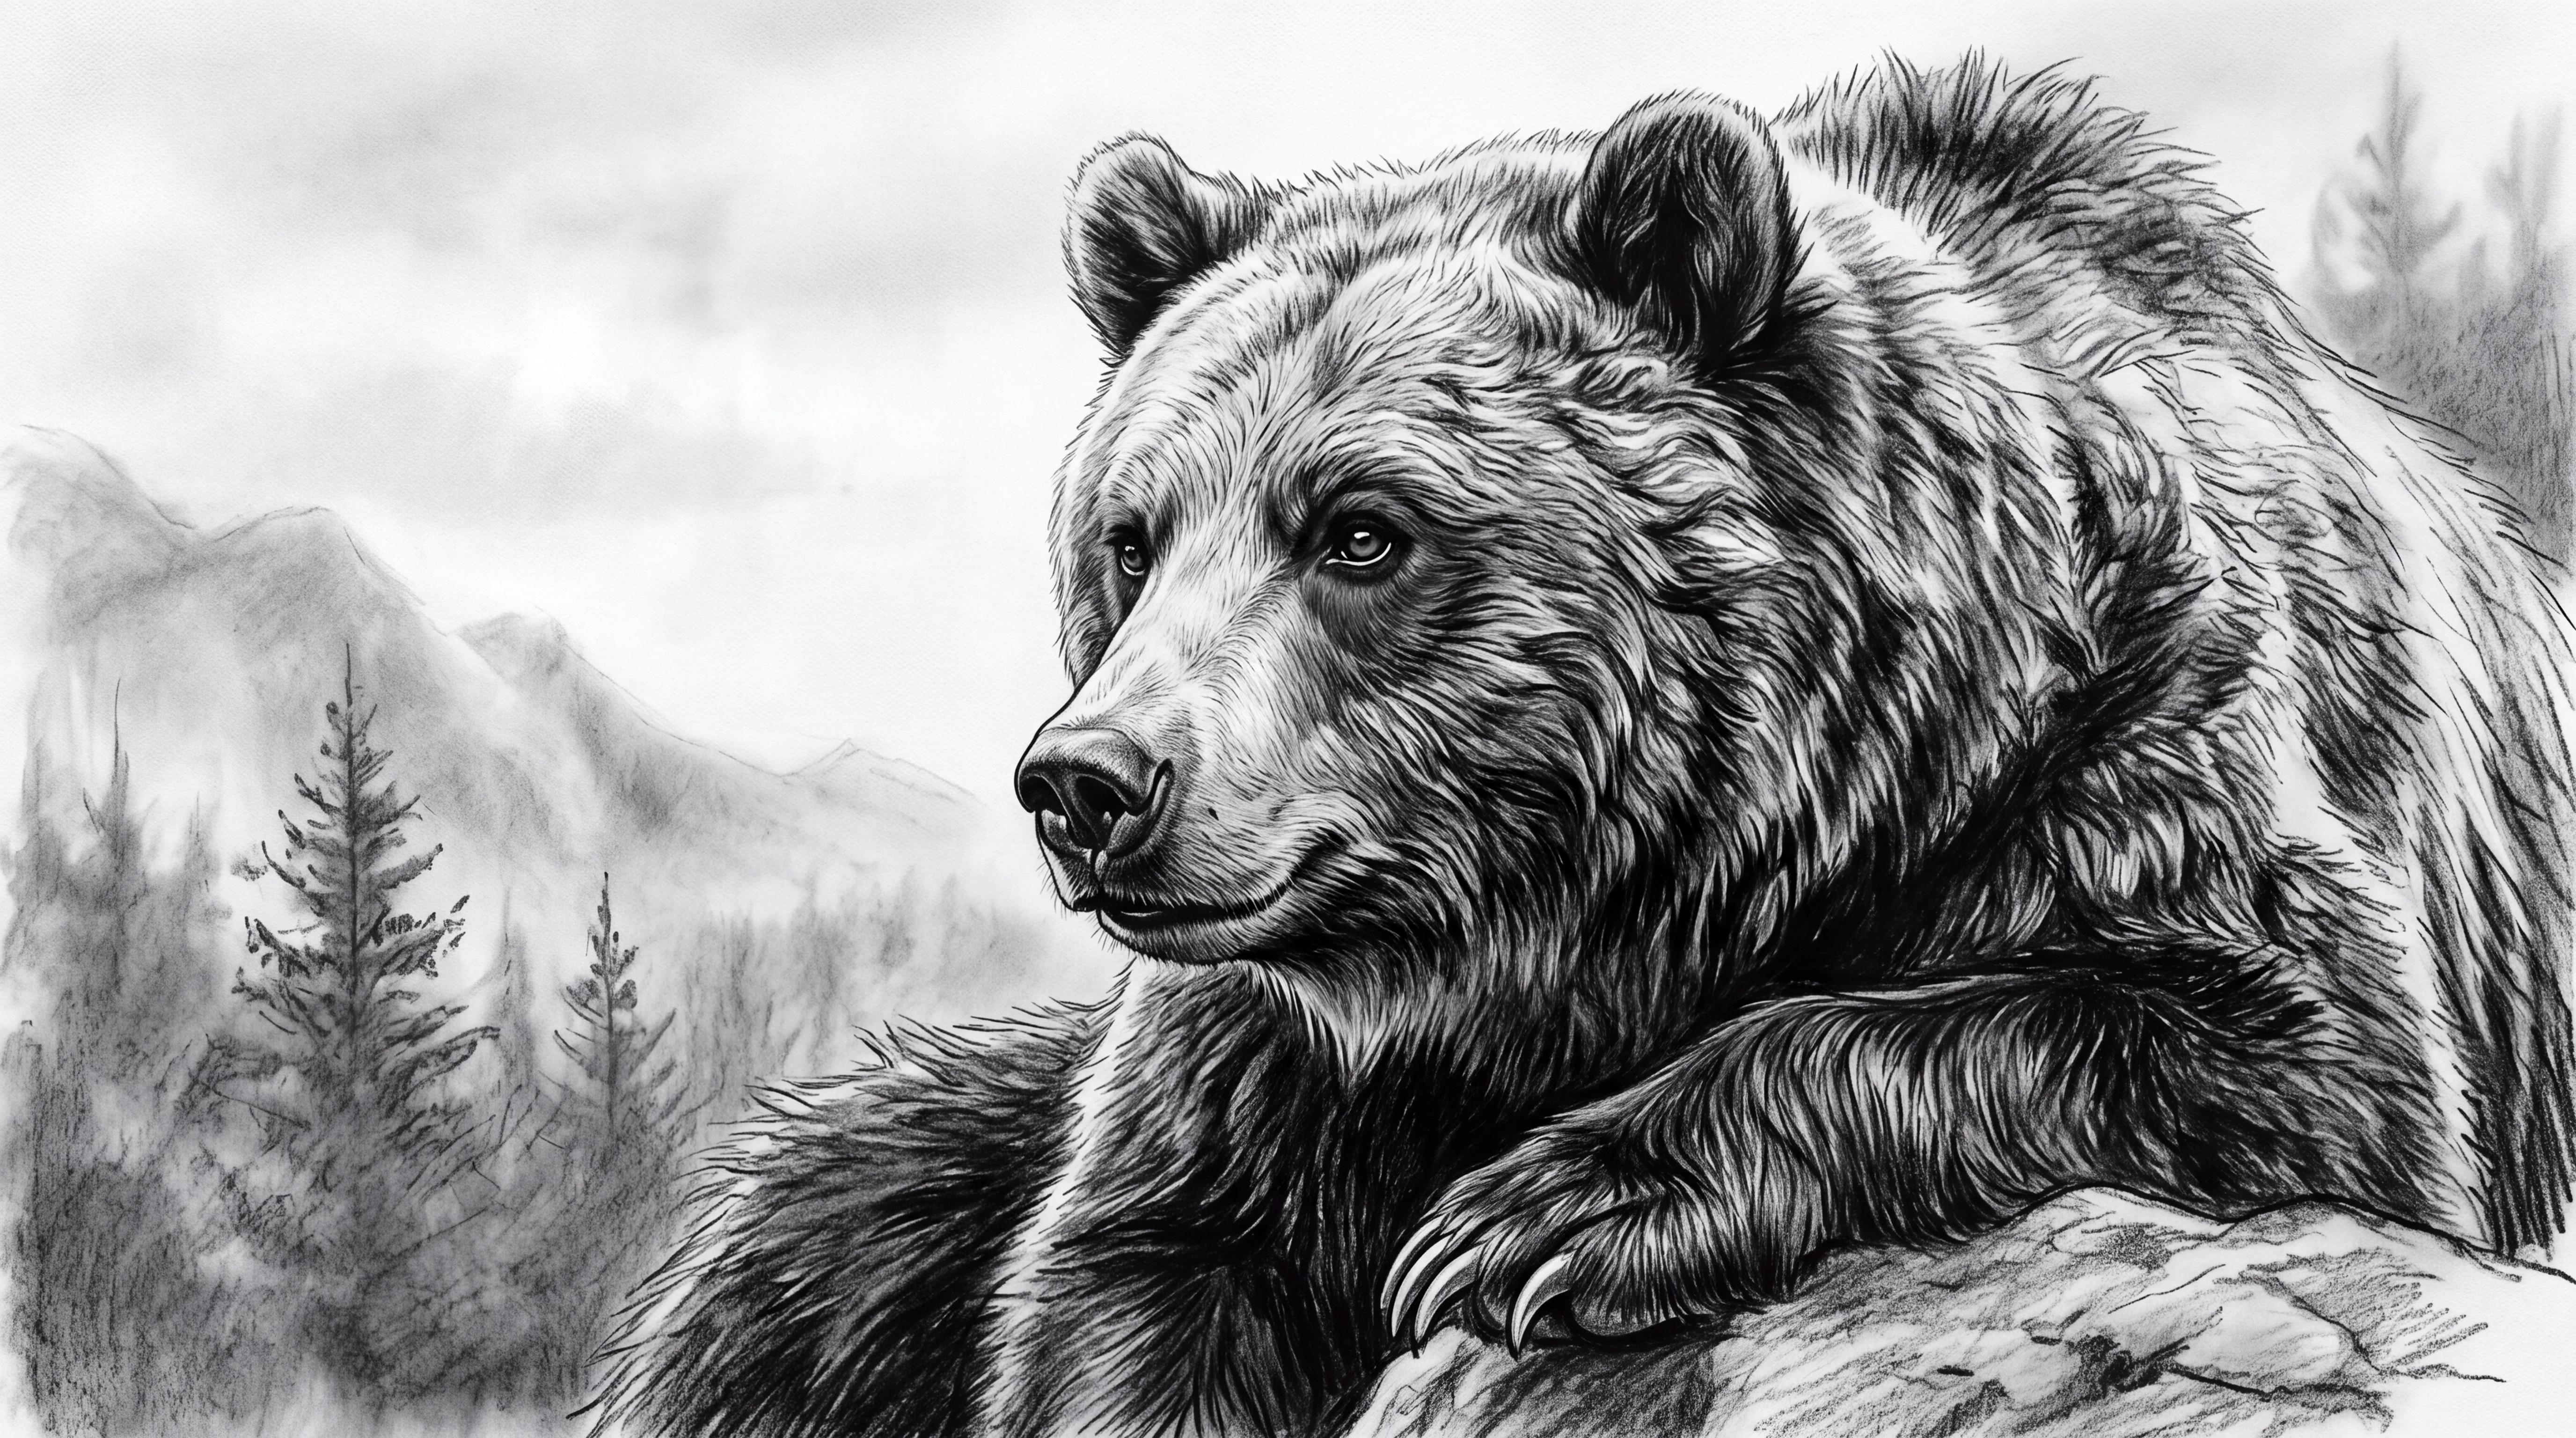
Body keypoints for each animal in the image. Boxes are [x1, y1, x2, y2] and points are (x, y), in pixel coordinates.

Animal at [589, 55, 2576, 1438]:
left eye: (1360, 527)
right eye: (1129, 536)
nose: (1088, 785)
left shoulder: (2123, 731)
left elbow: (2275, 1047)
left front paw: (1541, 1214)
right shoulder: (1271, 1044)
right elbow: (1142, 1266)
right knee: (808, 1235)